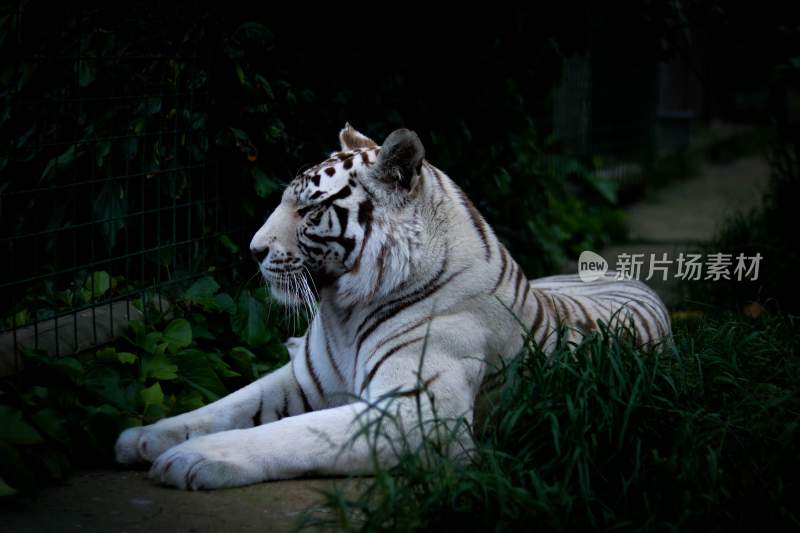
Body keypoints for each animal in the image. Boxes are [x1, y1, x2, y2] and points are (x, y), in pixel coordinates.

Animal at [117, 123, 668, 486]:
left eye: (310, 209)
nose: (252, 250)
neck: (342, 310)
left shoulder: (416, 413)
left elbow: (293, 432)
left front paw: (193, 458)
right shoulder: (305, 380)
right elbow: (228, 404)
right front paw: (145, 436)